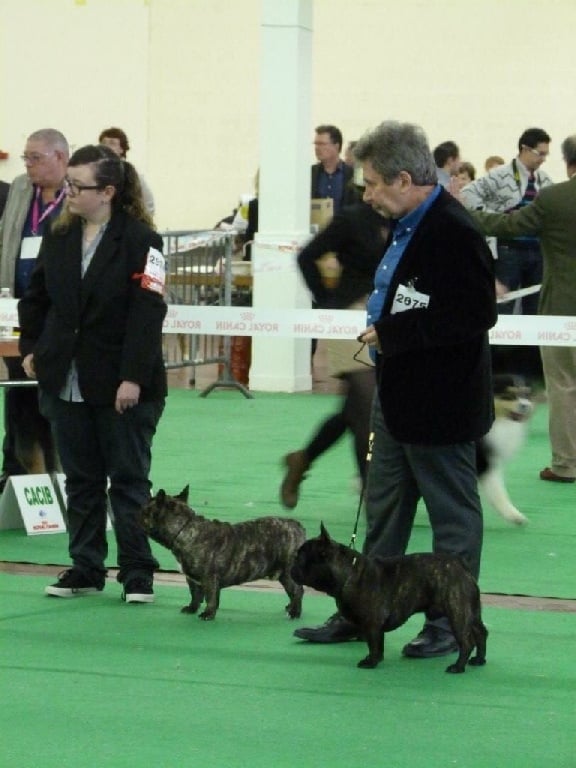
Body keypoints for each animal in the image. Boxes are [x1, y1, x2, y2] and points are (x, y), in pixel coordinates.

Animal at [474, 374, 532, 528]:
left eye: (525, 394)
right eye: (509, 395)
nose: (525, 406)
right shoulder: (485, 464)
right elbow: (499, 493)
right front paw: (515, 516)